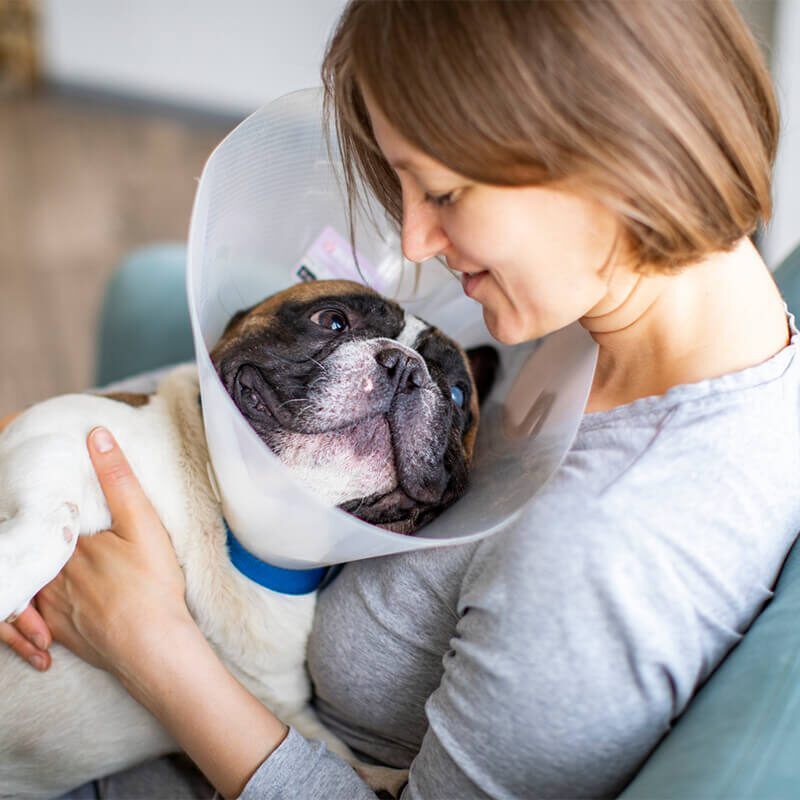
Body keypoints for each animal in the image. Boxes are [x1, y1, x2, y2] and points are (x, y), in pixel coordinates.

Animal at [0, 278, 496, 796]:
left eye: (457, 393)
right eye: (332, 320)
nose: (404, 367)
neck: (223, 522)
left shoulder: (274, 713)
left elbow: (338, 757)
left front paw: (387, 778)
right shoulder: (51, 437)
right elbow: (58, 518)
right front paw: (10, 577)